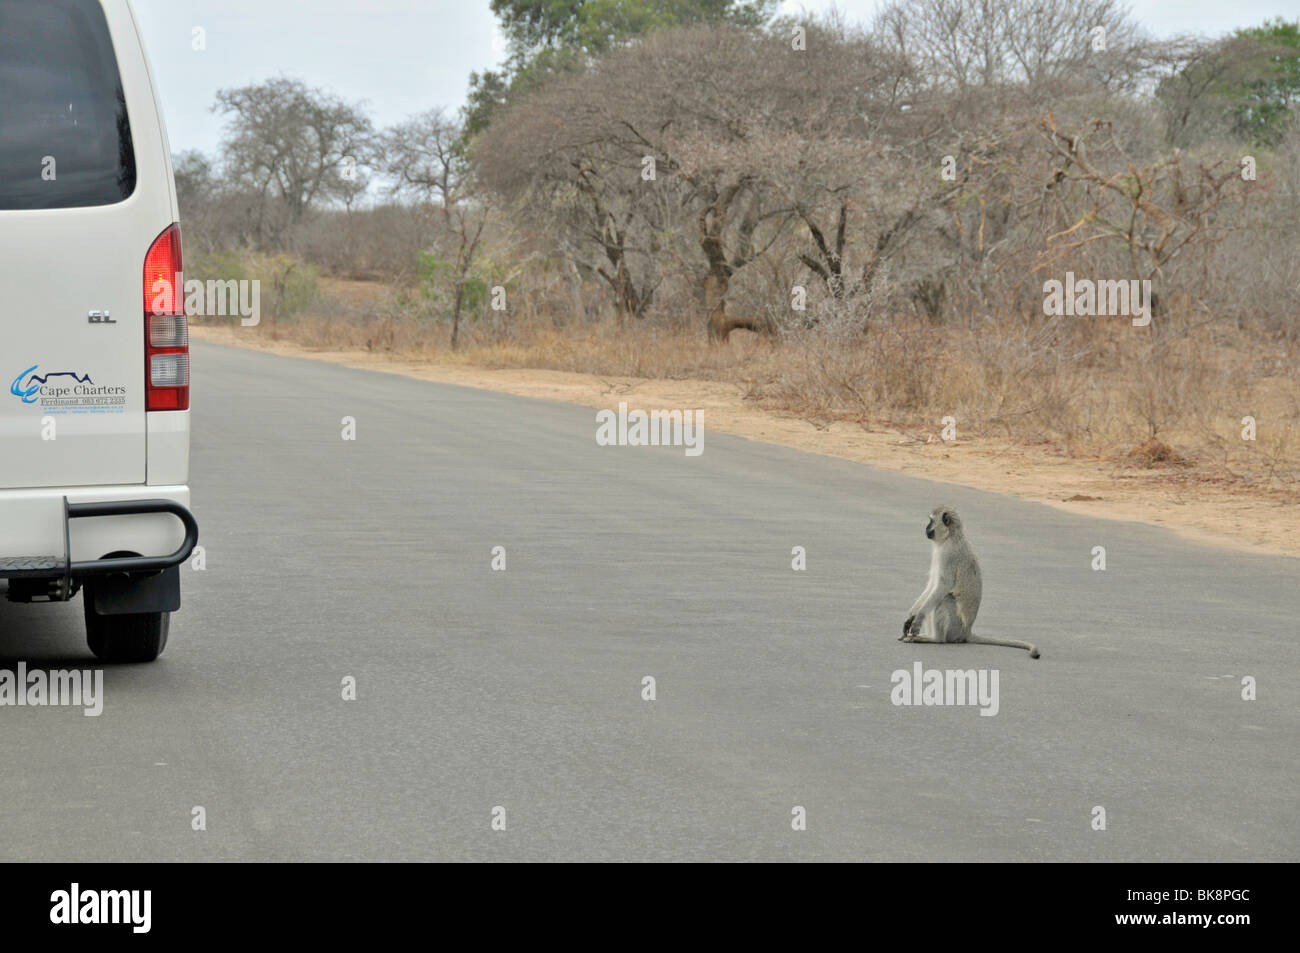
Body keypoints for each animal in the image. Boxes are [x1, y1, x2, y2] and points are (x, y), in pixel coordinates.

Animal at [900, 506, 1040, 659]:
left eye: (931, 521)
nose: (926, 528)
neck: (950, 536)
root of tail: (968, 631)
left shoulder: (948, 554)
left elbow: (943, 585)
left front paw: (918, 617)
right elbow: (932, 584)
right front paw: (912, 615)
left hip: (955, 628)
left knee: (945, 599)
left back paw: (936, 639)